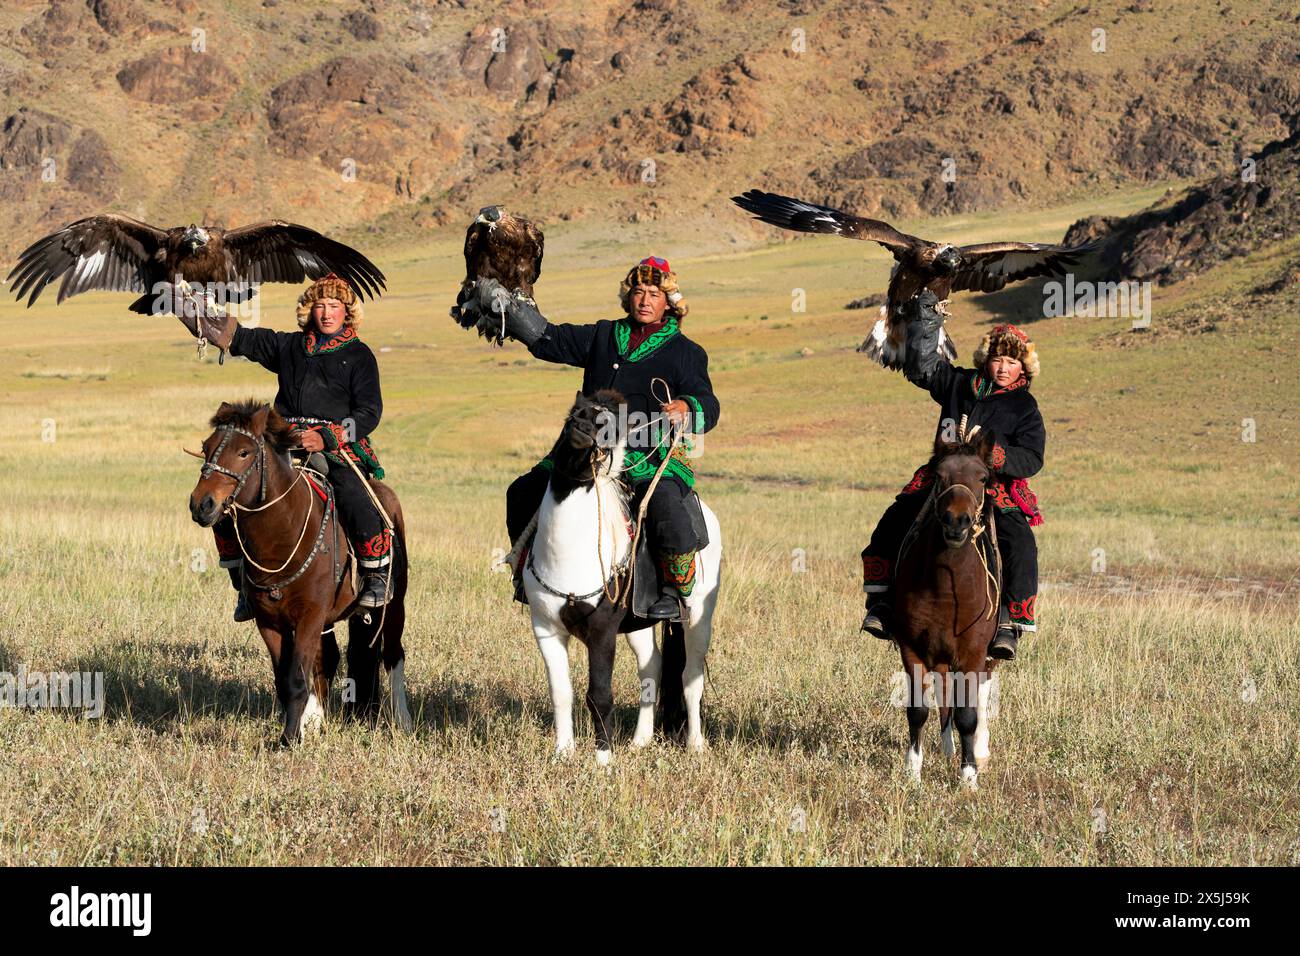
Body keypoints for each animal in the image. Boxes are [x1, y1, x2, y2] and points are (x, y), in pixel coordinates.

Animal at [187, 400, 411, 745]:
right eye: (206, 448)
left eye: (244, 452)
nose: (202, 504)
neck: (283, 533)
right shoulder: (269, 621)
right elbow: (286, 678)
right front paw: (300, 728)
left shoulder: (309, 616)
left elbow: (295, 678)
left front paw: (289, 740)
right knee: (327, 659)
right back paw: (317, 719)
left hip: (394, 602)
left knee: (392, 655)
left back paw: (404, 721)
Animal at [521, 389, 722, 764]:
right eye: (573, 413)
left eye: (612, 425)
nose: (583, 426)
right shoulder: (546, 628)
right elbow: (561, 692)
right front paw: (563, 753)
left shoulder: (602, 631)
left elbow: (599, 694)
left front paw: (603, 761)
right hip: (639, 623)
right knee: (651, 668)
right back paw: (641, 739)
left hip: (699, 615)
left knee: (691, 678)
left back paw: (696, 743)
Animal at [892, 430, 1001, 789]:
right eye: (939, 476)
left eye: (983, 477)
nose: (956, 522)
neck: (946, 587)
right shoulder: (912, 649)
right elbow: (918, 710)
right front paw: (913, 772)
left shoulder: (972, 653)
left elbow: (968, 714)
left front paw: (969, 777)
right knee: (943, 693)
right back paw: (947, 746)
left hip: (987, 656)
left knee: (981, 693)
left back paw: (979, 749)